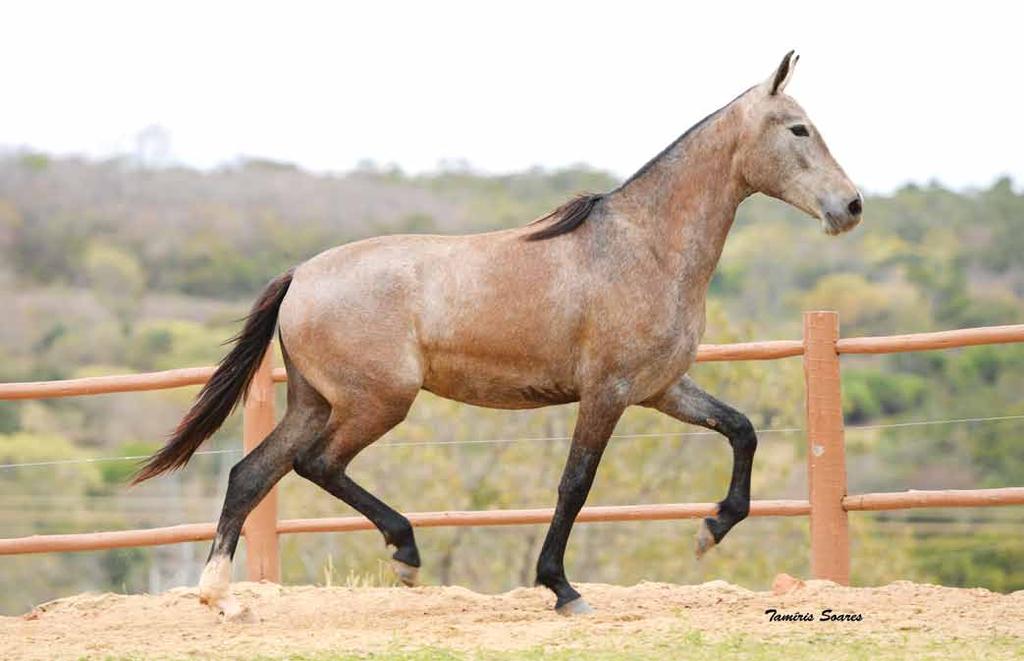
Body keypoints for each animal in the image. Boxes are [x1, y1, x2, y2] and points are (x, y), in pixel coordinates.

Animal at [132, 51, 860, 622]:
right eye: (799, 127)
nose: (850, 206)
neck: (642, 247)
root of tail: (299, 275)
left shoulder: (662, 388)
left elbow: (742, 430)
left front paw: (711, 528)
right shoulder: (607, 392)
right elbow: (575, 485)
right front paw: (563, 589)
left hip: (315, 401)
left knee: (250, 473)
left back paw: (224, 599)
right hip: (377, 402)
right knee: (316, 464)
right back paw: (405, 552)